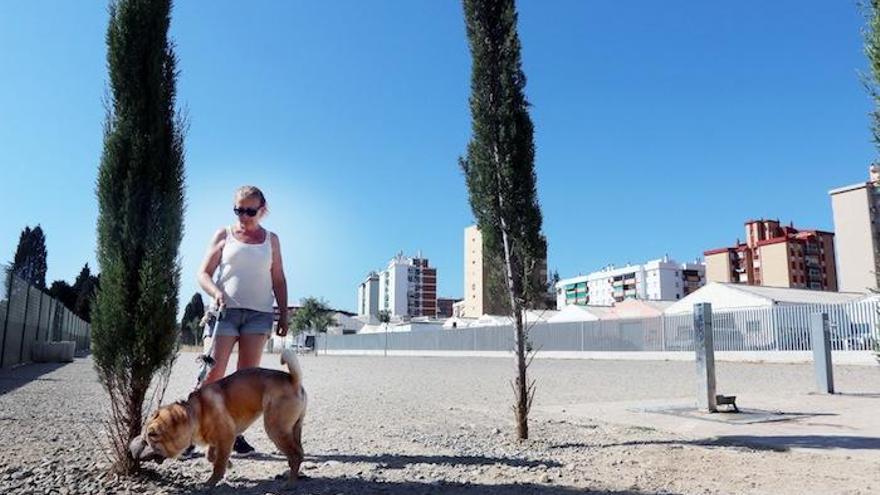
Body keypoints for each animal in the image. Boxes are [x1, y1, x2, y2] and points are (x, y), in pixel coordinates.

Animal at [140, 348, 306, 484]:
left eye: (151, 438)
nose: (137, 454)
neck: (197, 412)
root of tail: (294, 380)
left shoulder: (227, 438)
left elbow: (219, 464)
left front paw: (212, 481)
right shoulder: (216, 442)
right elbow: (211, 456)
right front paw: (229, 463)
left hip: (275, 429)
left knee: (296, 455)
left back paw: (290, 484)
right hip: (294, 428)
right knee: (299, 452)